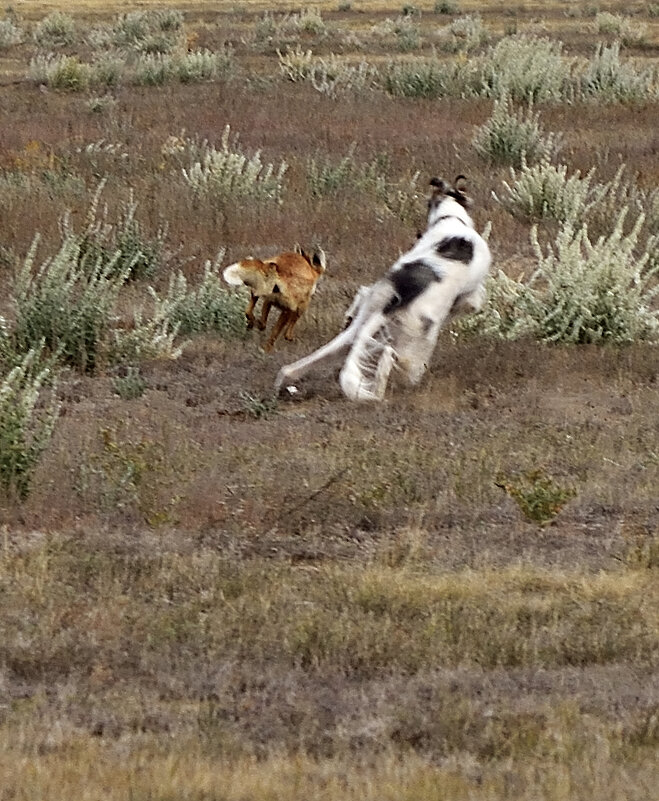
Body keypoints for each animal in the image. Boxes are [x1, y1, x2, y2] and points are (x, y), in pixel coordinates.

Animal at [274, 175, 490, 400]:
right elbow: (473, 301)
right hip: (417, 346)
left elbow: (362, 290)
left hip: (362, 323)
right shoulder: (471, 297)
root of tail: (395, 300)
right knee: (392, 359)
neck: (449, 217)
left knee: (313, 359)